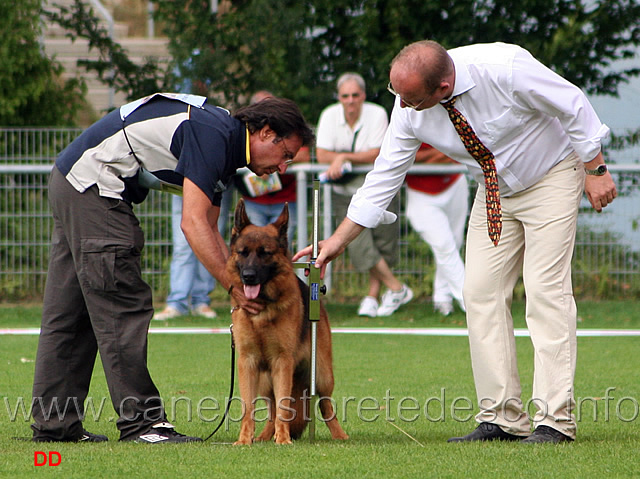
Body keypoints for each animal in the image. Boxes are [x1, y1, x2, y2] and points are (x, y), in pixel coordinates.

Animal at [228, 199, 350, 446]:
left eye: (265, 254)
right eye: (242, 253)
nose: (248, 276)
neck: (263, 308)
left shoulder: (282, 362)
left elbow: (285, 406)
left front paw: (283, 439)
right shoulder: (248, 362)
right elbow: (249, 408)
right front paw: (245, 440)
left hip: (322, 375)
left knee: (325, 405)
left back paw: (339, 435)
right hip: (265, 381)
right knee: (271, 409)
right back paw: (264, 435)